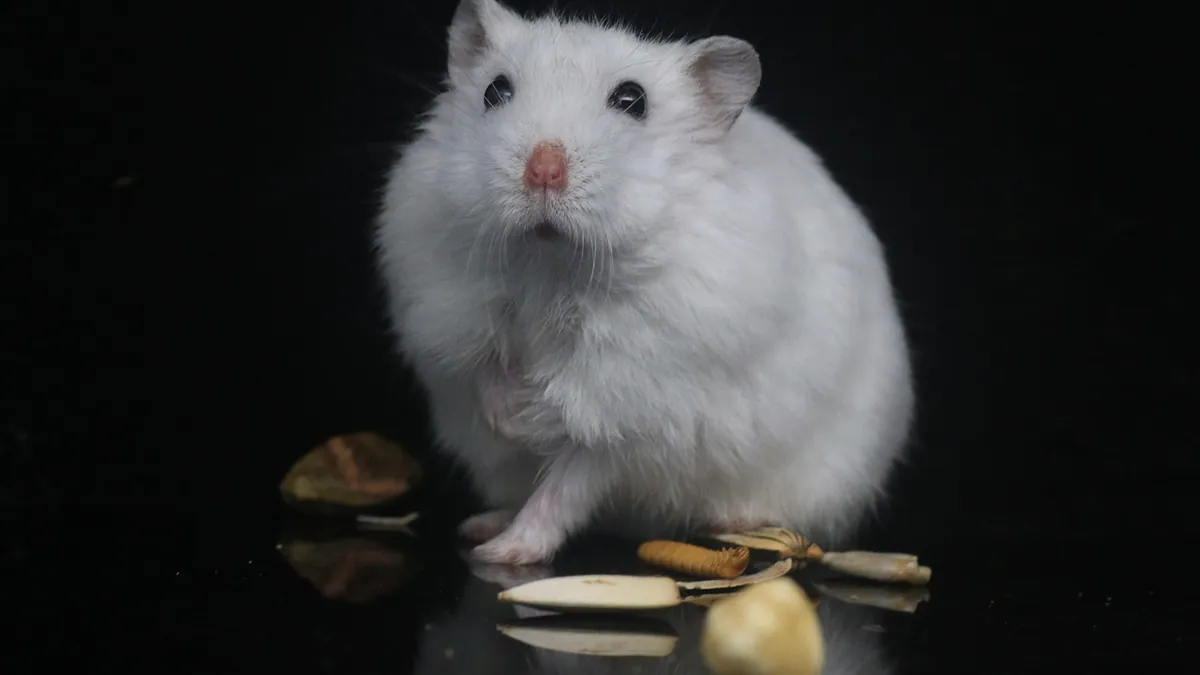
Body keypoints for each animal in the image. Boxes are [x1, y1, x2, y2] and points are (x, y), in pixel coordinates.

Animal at [374, 0, 915, 565]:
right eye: (495, 90)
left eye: (632, 101)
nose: (542, 171)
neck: (553, 262)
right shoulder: (448, 303)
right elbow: (481, 363)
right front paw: (511, 419)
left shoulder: (632, 399)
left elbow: (573, 452)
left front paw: (531, 424)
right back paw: (482, 526)